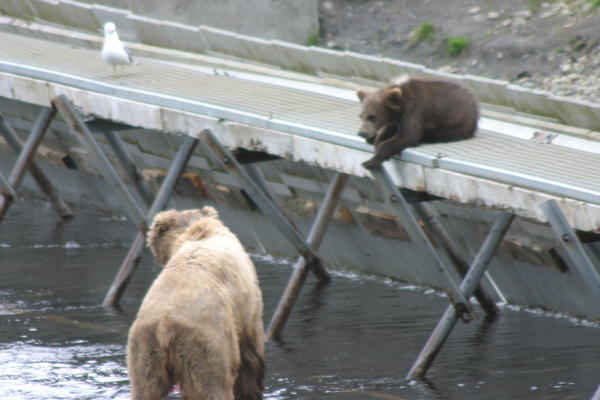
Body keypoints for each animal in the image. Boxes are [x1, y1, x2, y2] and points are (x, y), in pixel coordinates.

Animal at [127, 206, 264, 400]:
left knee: (143, 389)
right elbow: (251, 355)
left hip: (145, 347)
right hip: (204, 344)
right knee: (214, 386)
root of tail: (165, 325)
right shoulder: (246, 309)